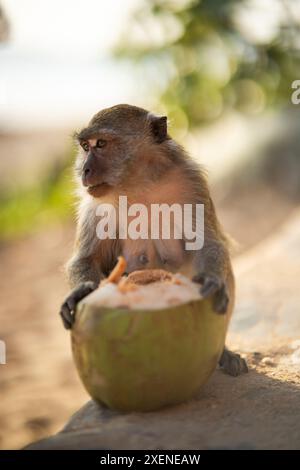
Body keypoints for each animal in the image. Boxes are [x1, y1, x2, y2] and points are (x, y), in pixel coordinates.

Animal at [59, 104, 247, 376]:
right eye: (85, 146)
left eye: (101, 144)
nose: (84, 170)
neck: (138, 187)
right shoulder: (94, 207)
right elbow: (86, 259)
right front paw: (82, 292)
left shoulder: (191, 183)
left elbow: (208, 244)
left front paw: (212, 280)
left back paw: (223, 352)